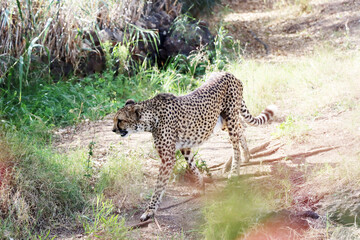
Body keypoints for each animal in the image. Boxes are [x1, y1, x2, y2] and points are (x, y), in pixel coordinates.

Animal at [112, 71, 276, 221]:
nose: (113, 130)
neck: (151, 119)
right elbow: (192, 165)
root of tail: (228, 73)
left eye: (120, 120)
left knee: (235, 143)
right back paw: (246, 155)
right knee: (242, 128)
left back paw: (235, 170)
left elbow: (159, 186)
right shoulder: (184, 147)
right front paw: (201, 185)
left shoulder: (167, 159)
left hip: (230, 117)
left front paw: (149, 210)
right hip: (222, 120)